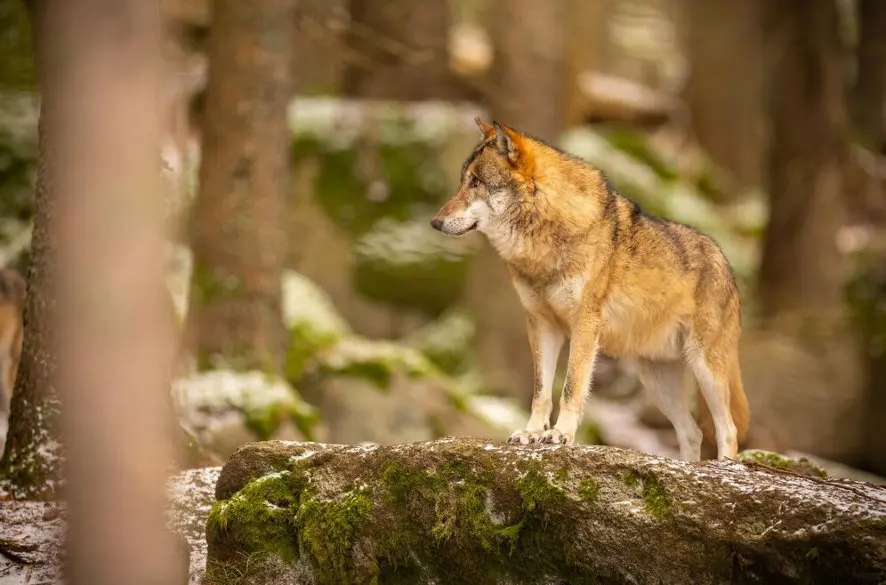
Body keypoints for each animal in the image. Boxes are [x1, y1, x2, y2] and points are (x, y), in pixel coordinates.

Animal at [430, 116, 748, 458]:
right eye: (462, 181)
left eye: (476, 182)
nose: (435, 222)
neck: (541, 243)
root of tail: (725, 262)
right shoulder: (541, 325)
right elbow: (541, 391)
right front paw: (531, 433)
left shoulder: (584, 325)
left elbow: (571, 386)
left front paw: (560, 435)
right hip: (656, 380)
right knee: (691, 432)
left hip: (706, 369)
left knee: (727, 430)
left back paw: (723, 466)